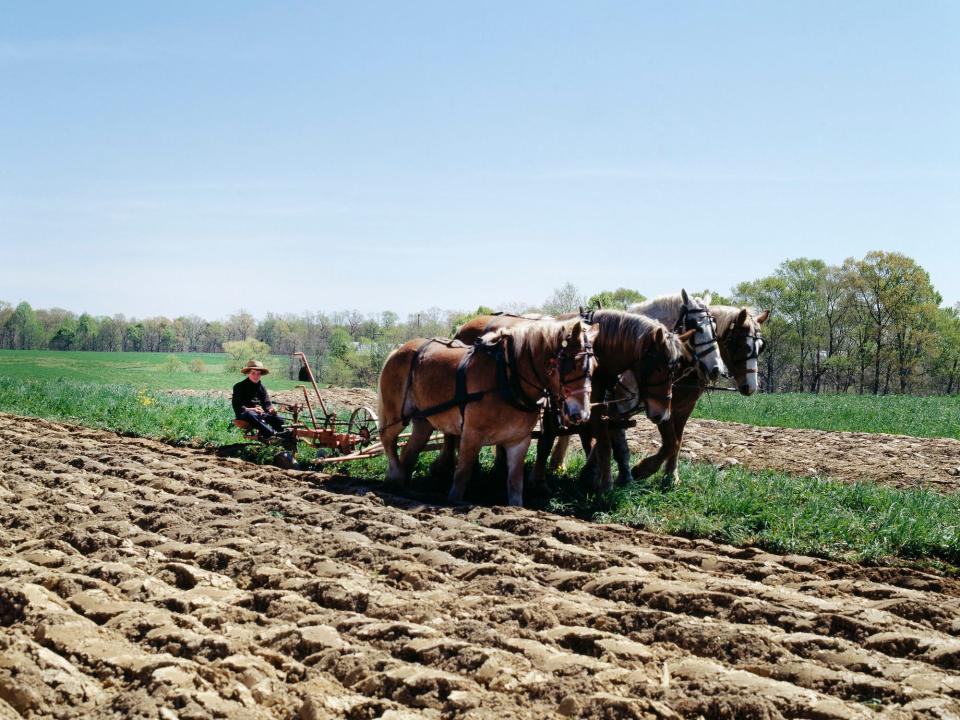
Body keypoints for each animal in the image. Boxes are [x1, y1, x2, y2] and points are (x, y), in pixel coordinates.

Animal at [376, 318, 592, 510]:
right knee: (387, 439)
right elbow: (461, 476)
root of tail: (398, 349)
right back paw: (394, 477)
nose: (581, 414)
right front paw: (453, 501)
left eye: (593, 367)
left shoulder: (519, 441)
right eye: (572, 364)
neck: (506, 379)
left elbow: (515, 484)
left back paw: (403, 487)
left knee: (408, 451)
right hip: (396, 416)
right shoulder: (471, 435)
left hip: (424, 422)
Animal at [632, 306, 772, 486]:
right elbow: (671, 443)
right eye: (739, 344)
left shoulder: (684, 407)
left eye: (760, 347)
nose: (751, 387)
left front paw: (671, 476)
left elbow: (678, 441)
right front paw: (643, 469)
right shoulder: (663, 406)